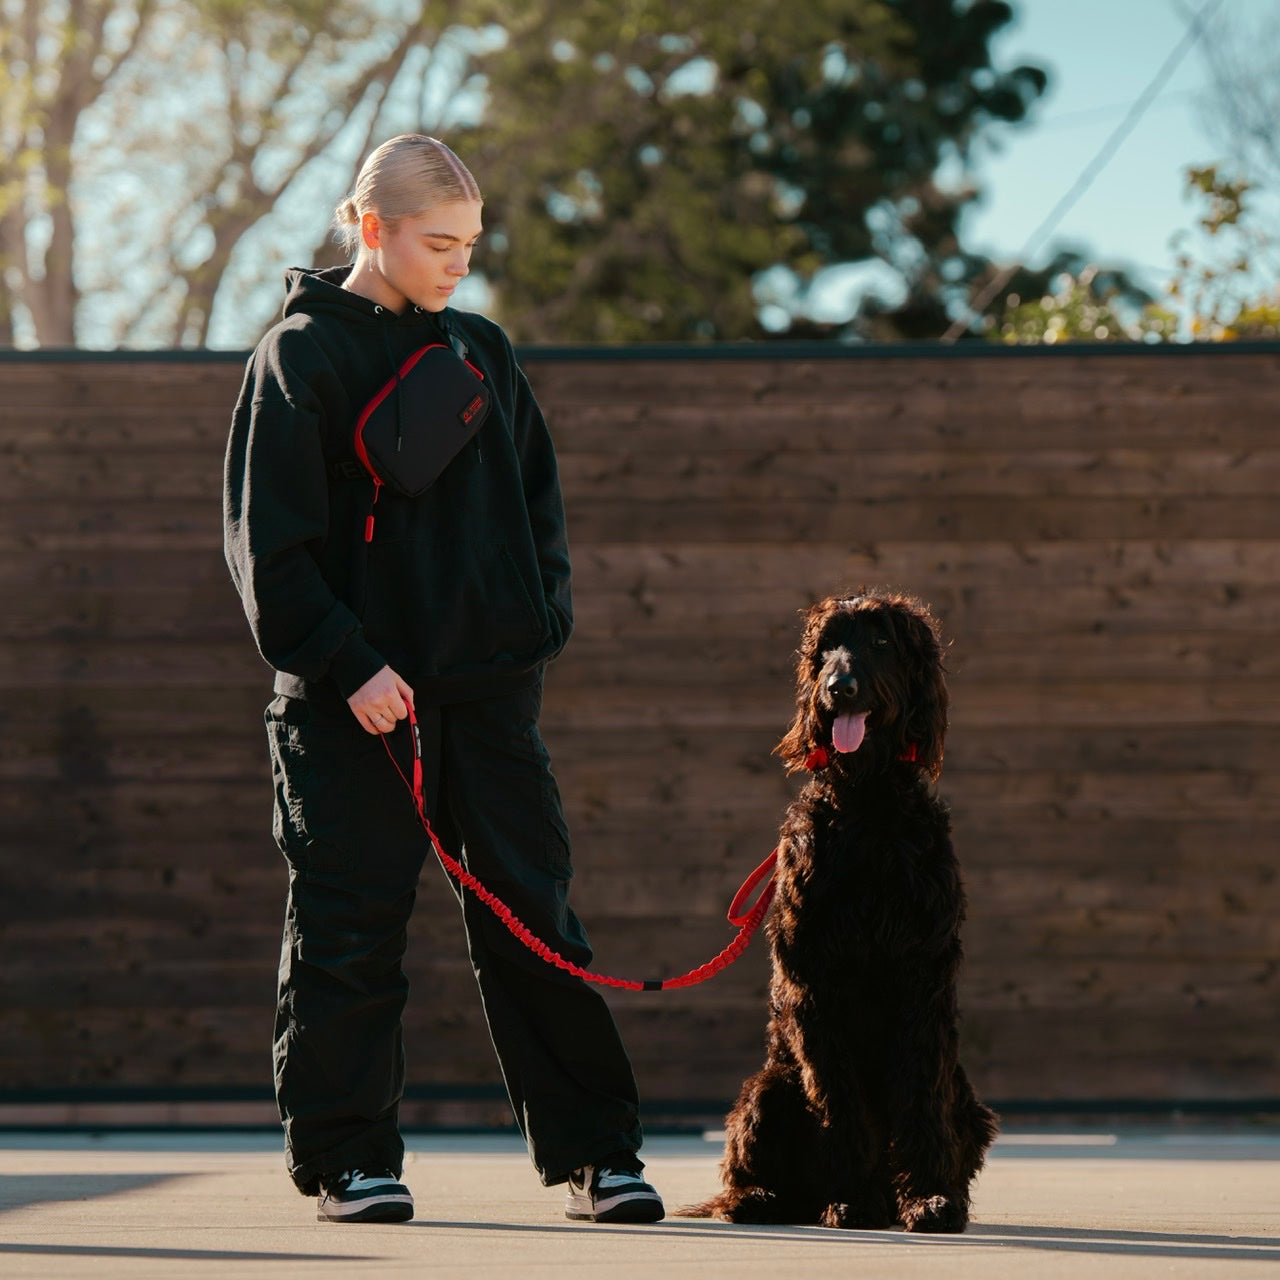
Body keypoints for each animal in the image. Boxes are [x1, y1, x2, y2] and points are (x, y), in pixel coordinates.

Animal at [680, 593, 998, 1233]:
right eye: (827, 647)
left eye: (880, 641)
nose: (838, 687)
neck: (869, 804)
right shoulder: (814, 982)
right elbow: (838, 1101)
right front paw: (852, 1199)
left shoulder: (923, 976)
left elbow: (920, 1095)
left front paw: (931, 1198)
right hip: (767, 1090)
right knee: (754, 1171)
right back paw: (762, 1199)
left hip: (967, 1100)